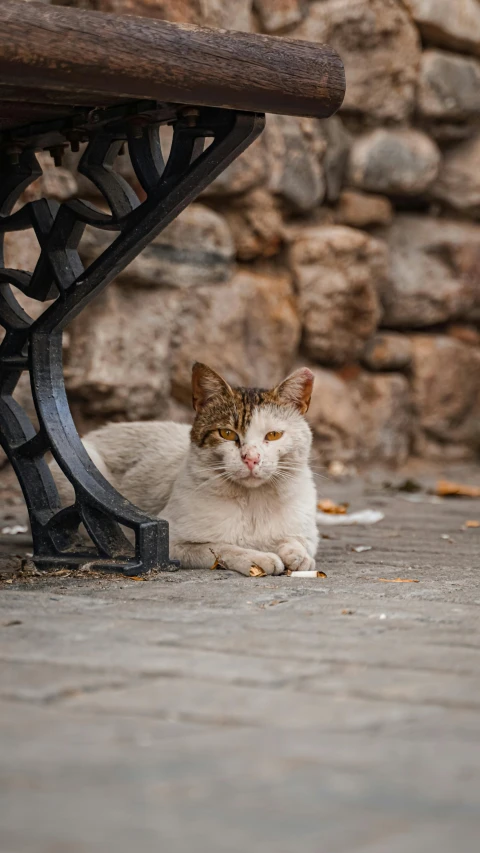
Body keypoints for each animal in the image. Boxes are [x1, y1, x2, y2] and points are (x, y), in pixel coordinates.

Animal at [62, 362, 320, 576]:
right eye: (227, 433)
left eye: (273, 435)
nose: (251, 458)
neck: (253, 503)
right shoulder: (167, 544)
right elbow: (223, 547)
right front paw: (260, 558)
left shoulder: (307, 535)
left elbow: (296, 542)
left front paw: (298, 557)